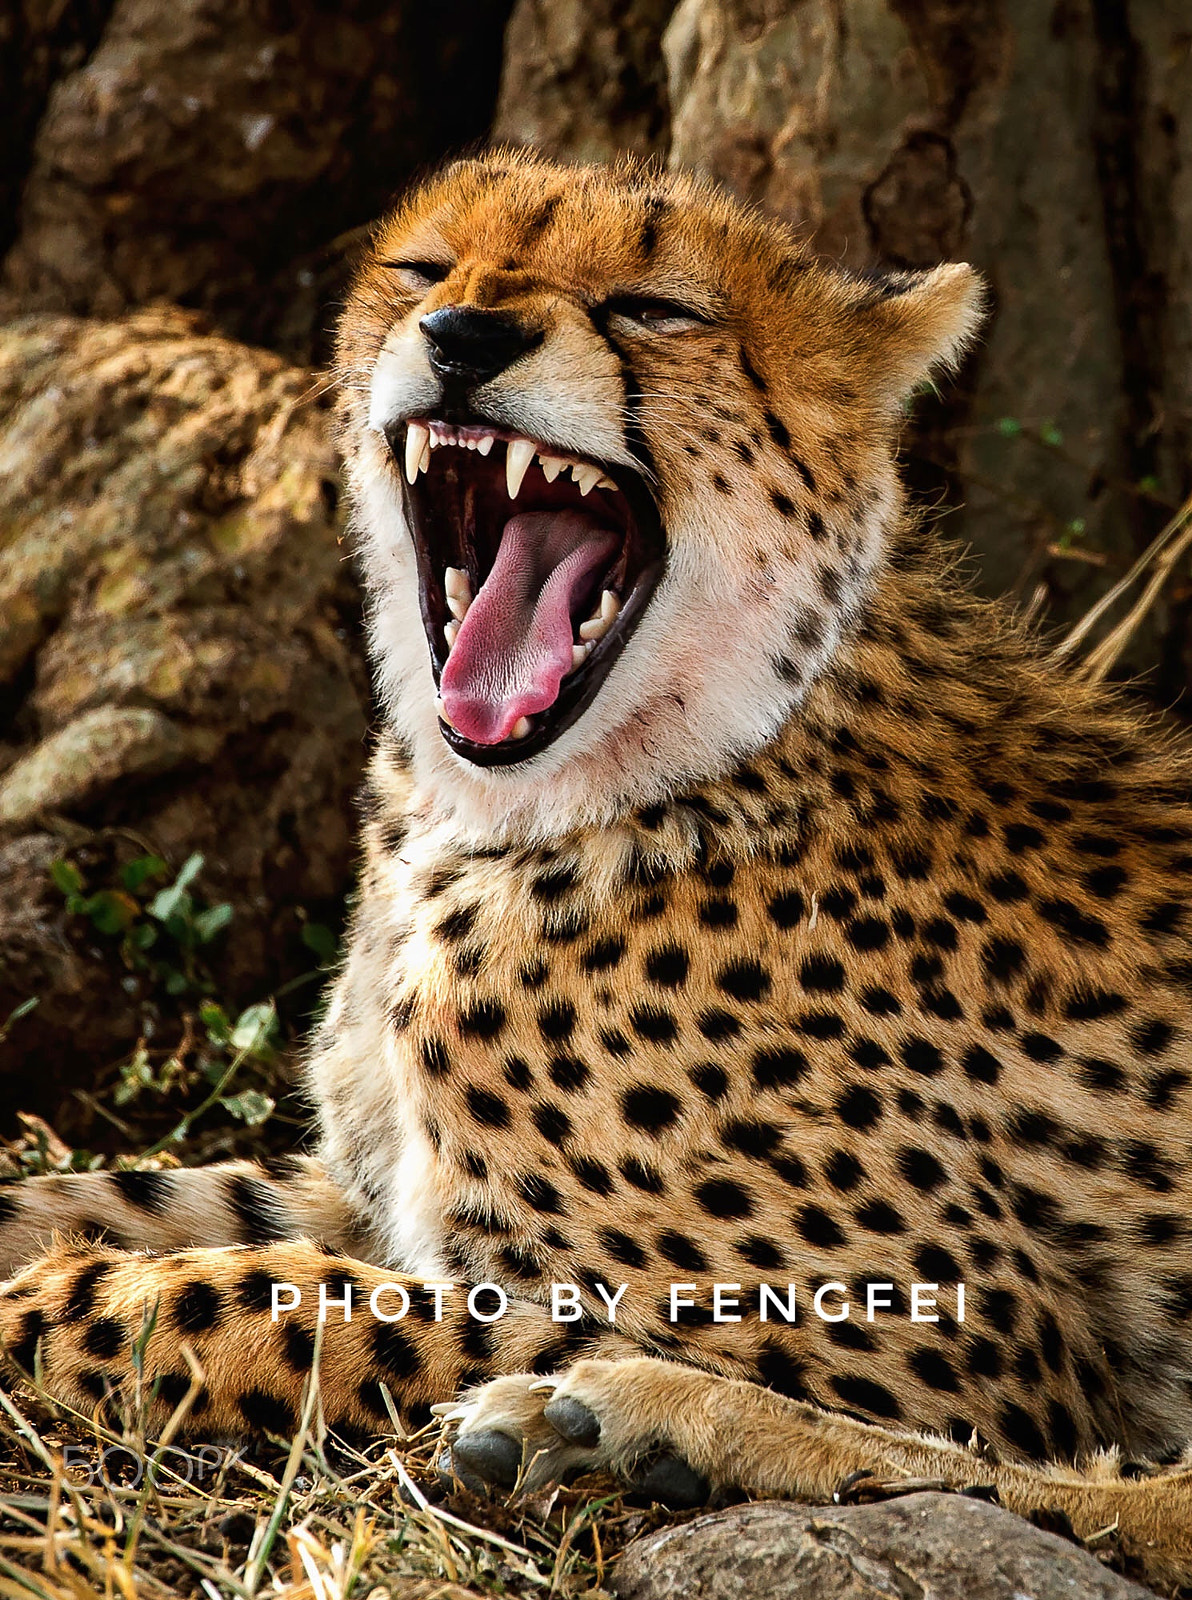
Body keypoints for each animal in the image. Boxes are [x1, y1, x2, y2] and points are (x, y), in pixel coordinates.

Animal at [6, 148, 1192, 1587]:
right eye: (423, 270)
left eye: (653, 307)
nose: (464, 335)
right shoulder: (364, 1181)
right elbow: (152, 1188)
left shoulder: (967, 1353)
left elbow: (422, 1307)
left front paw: (103, 1302)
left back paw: (638, 1423)